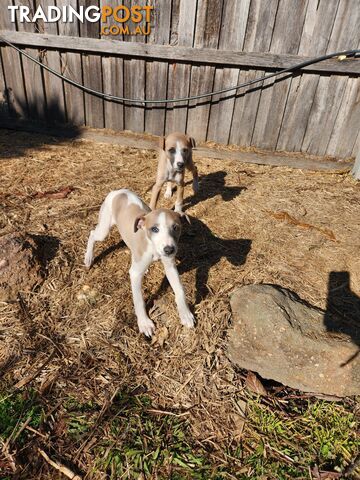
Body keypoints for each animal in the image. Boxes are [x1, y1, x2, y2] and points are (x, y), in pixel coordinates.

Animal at [84, 188, 194, 338]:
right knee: (92, 234)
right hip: (104, 229)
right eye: (154, 229)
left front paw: (185, 314)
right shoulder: (135, 275)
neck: (153, 247)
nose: (169, 250)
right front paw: (144, 323)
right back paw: (88, 257)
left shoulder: (170, 266)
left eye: (176, 228)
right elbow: (139, 300)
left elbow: (180, 290)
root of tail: (118, 191)